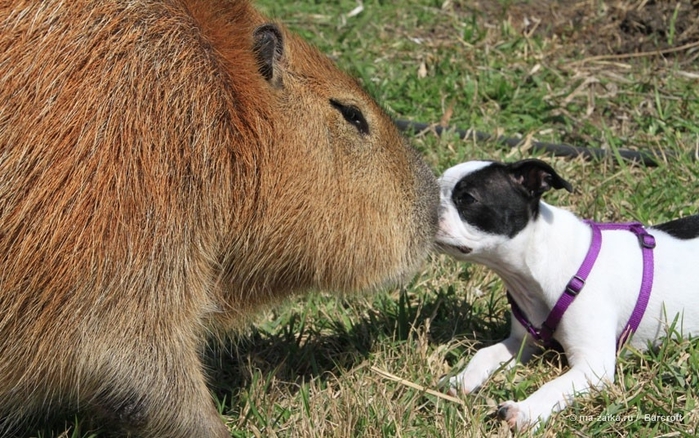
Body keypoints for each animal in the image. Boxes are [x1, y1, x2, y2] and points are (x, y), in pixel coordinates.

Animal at [438, 159, 699, 430]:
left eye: (467, 198)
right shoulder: (523, 341)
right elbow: (485, 353)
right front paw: (462, 379)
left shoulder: (593, 366)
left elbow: (552, 387)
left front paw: (525, 411)